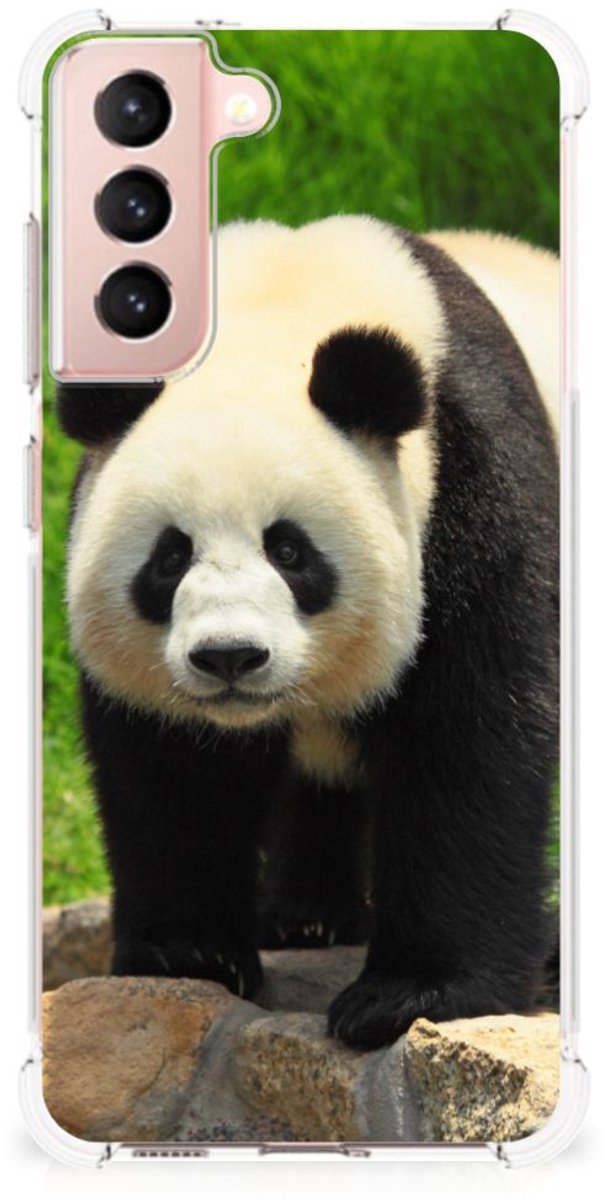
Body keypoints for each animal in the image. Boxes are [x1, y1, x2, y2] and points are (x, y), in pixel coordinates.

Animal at [58, 216, 559, 1051]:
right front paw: (189, 952)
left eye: (289, 551)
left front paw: (410, 995)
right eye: (169, 557)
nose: (229, 657)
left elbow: (472, 738)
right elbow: (173, 769)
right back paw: (306, 915)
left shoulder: (475, 488)